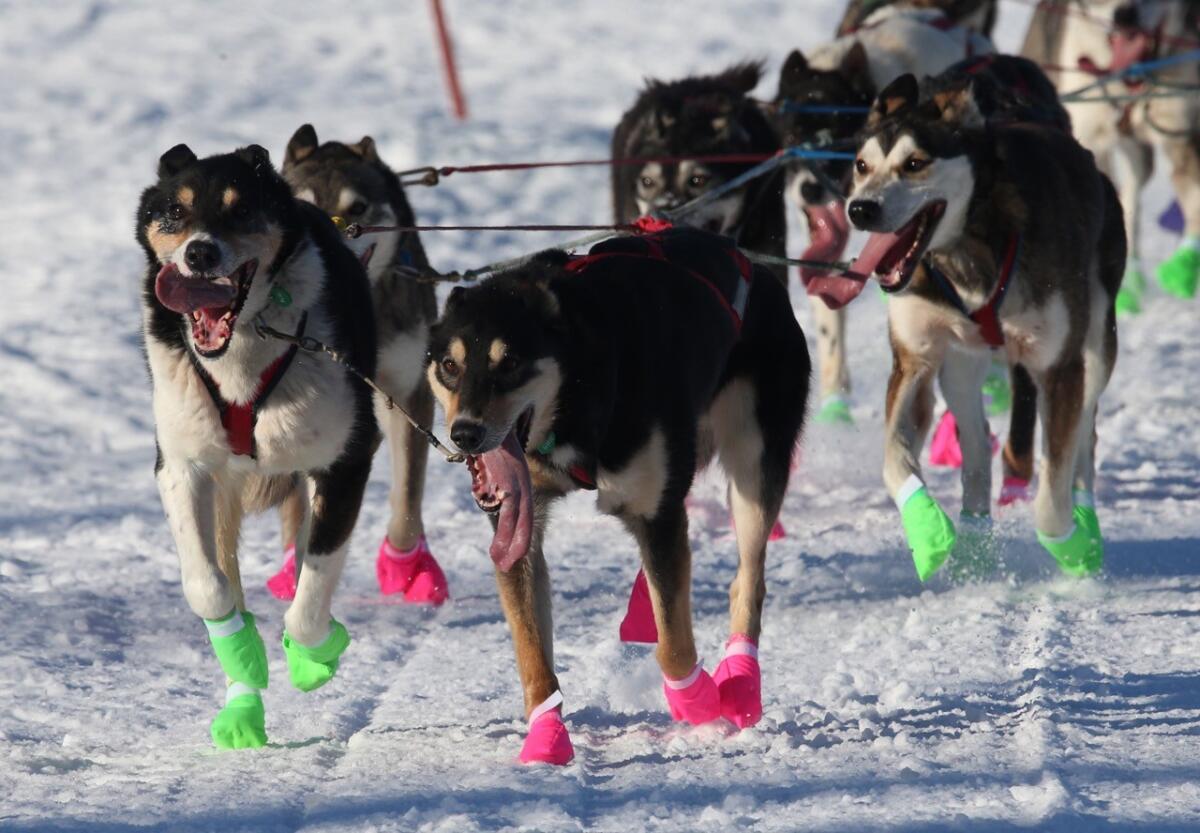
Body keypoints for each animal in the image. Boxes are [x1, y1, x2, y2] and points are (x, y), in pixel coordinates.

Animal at [138, 142, 376, 748]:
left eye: (240, 210)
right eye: (174, 213)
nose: (199, 252)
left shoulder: (345, 464)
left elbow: (309, 601)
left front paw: (316, 655)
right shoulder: (183, 467)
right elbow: (207, 587)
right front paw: (243, 651)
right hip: (223, 492)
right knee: (226, 572)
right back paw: (241, 707)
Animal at [427, 226, 811, 763]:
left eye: (512, 362)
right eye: (449, 364)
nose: (465, 434)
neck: (579, 395)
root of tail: (750, 263)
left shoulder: (659, 515)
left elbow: (673, 647)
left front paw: (699, 700)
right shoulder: (519, 530)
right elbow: (531, 649)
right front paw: (547, 736)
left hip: (754, 465)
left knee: (748, 581)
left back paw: (740, 681)